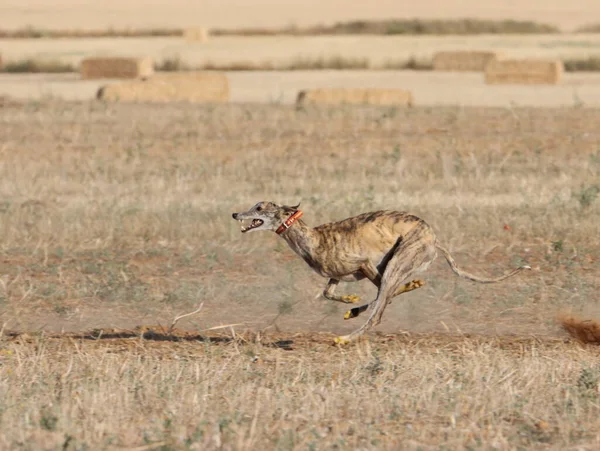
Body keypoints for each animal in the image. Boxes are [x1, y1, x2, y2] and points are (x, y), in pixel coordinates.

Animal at [232, 203, 528, 344]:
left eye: (259, 207)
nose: (235, 214)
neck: (312, 238)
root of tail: (434, 238)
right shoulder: (339, 274)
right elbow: (328, 292)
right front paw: (350, 303)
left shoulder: (364, 264)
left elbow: (382, 297)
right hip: (392, 264)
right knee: (384, 298)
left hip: (397, 261)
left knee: (380, 308)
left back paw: (346, 338)